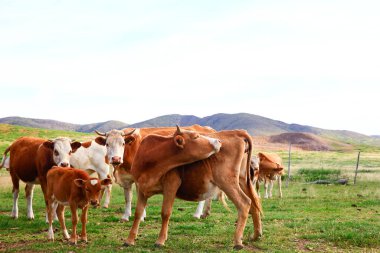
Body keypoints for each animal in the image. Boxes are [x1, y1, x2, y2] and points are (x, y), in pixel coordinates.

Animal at [124, 129, 262, 250]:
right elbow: (138, 213)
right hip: (243, 180)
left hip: (227, 181)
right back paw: (256, 235)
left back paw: (238, 241)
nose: (218, 141)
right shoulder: (140, 188)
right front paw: (129, 240)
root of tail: (236, 132)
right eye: (196, 136)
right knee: (254, 203)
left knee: (244, 203)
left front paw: (160, 240)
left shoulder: (171, 184)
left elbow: (165, 212)